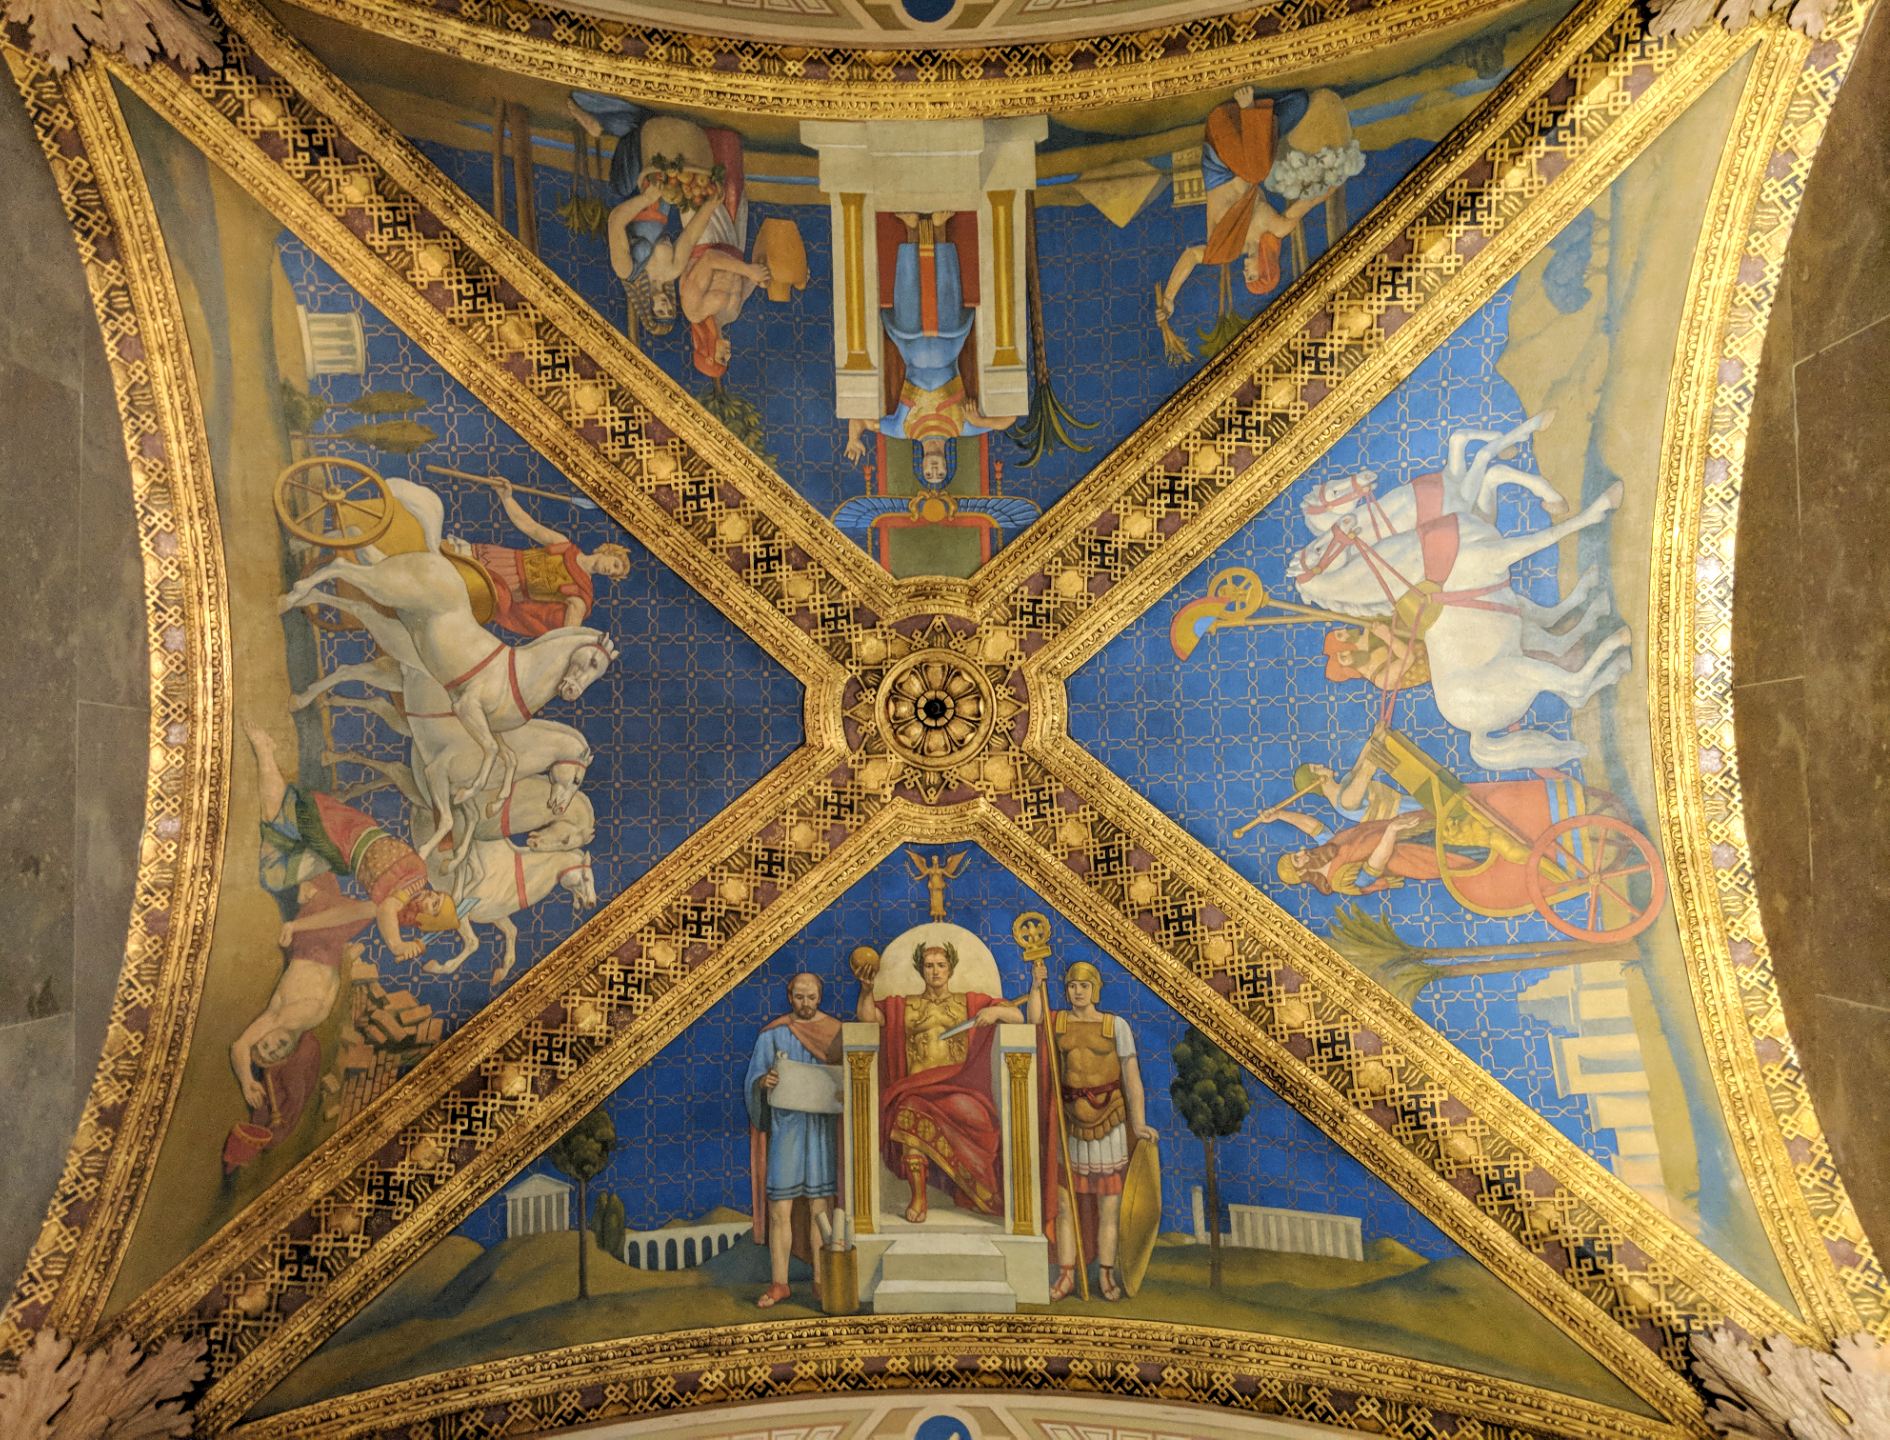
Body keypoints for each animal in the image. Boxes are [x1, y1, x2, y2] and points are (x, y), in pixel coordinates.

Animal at [281, 550, 615, 816]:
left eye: (599, 673)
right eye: (593, 662)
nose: (570, 692)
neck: (520, 676)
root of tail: (435, 558)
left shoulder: (492, 729)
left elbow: (508, 758)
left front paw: (494, 803)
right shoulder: (467, 710)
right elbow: (491, 752)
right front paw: (467, 792)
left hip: (387, 627)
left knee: (353, 627)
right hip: (386, 589)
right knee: (341, 566)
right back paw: (294, 595)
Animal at [423, 840, 598, 986]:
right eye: (585, 877)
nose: (592, 903)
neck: (512, 876)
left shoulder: (497, 917)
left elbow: (512, 932)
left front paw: (500, 973)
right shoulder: (459, 913)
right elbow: (473, 942)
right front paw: (437, 967)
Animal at [1290, 483, 1630, 772]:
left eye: (1318, 547)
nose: (1347, 519)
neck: (1418, 562)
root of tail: (1476, 731)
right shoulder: (1499, 555)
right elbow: (1548, 535)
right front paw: (1604, 504)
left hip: (1519, 621)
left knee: (1561, 656)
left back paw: (1598, 609)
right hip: (1524, 666)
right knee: (1574, 686)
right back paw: (1618, 645)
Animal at [1299, 413, 1567, 538]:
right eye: (1334, 490)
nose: (1368, 476)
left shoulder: (1461, 485)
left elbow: (1461, 439)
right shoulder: (1466, 498)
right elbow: (1484, 457)